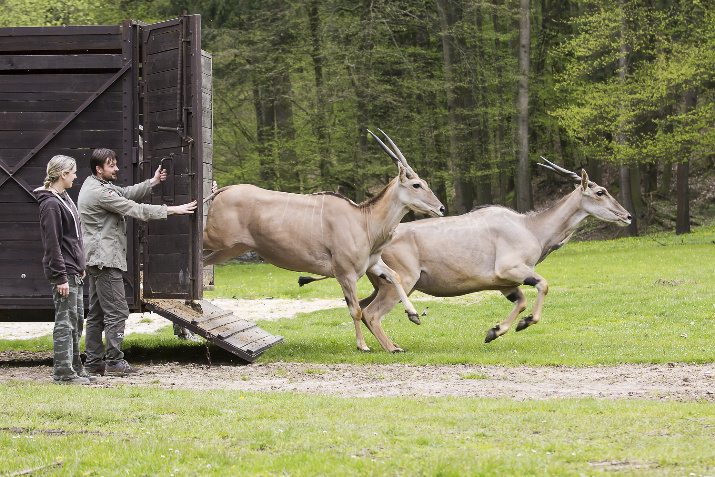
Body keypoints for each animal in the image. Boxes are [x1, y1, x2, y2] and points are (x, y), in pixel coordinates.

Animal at [203, 128, 448, 352]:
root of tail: (223, 190)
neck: (363, 220)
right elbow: (355, 310)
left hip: (229, 249)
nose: (441, 208)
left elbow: (395, 276)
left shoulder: (373, 264)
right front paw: (362, 346)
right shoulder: (346, 274)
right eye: (416, 185)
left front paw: (413, 314)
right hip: (214, 240)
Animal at [302, 158, 632, 348]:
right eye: (600, 191)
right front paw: (522, 324)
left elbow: (522, 300)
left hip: (381, 285)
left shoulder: (505, 284)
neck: (531, 226)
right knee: (371, 313)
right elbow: (543, 286)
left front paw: (495, 331)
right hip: (401, 284)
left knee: (359, 306)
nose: (627, 216)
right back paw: (393, 347)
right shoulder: (510, 271)